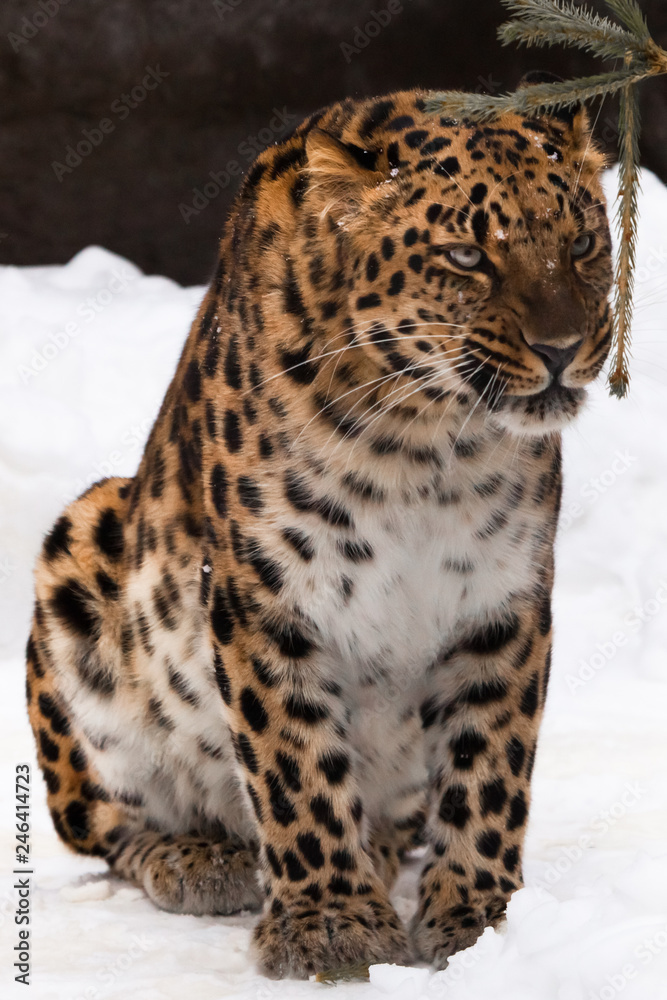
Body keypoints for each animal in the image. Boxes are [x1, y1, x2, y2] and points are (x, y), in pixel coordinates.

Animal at [26, 80, 613, 978]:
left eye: (581, 242)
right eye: (465, 257)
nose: (562, 347)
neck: (427, 443)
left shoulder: (502, 601)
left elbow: (489, 769)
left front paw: (481, 921)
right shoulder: (265, 598)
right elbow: (294, 764)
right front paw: (331, 925)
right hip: (84, 543)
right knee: (107, 826)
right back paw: (200, 860)